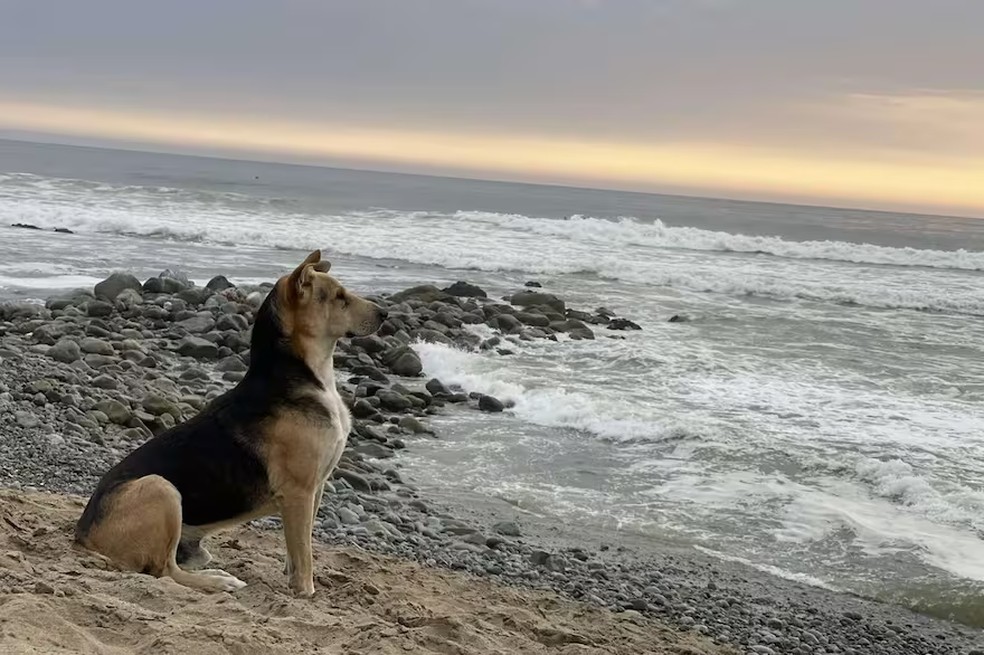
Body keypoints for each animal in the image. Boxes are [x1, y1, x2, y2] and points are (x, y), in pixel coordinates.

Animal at [73, 249, 386, 596]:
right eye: (339, 297)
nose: (385, 314)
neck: (304, 374)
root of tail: (83, 533)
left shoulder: (314, 489)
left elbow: (297, 546)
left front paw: (292, 576)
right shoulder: (299, 492)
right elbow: (304, 552)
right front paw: (306, 591)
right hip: (161, 487)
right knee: (165, 571)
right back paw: (219, 580)